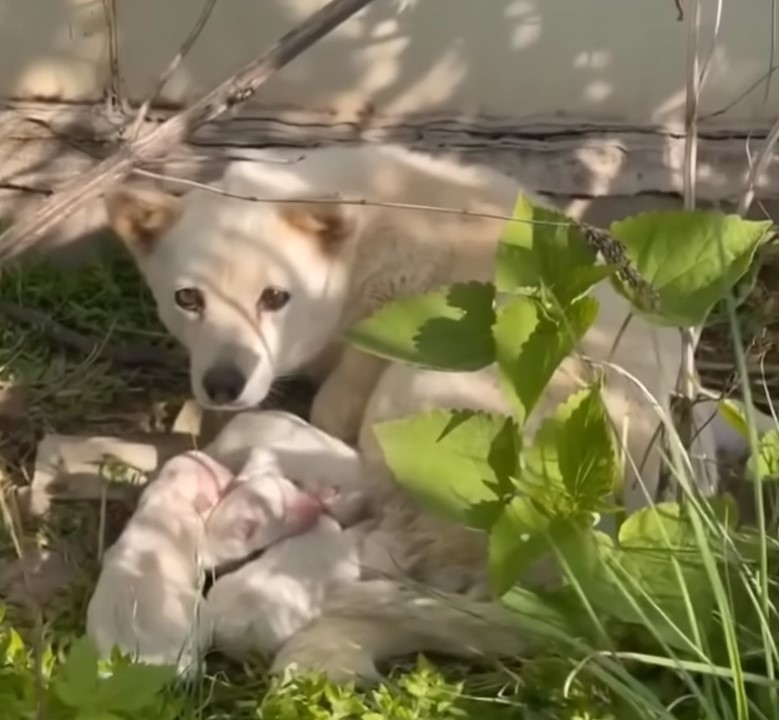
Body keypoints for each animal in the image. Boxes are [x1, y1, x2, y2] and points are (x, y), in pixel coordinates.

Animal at [106, 143, 724, 684]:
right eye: (189, 299)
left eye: (275, 297)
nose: (223, 384)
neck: (360, 241)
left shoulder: (367, 354)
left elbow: (327, 414)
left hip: (425, 386)